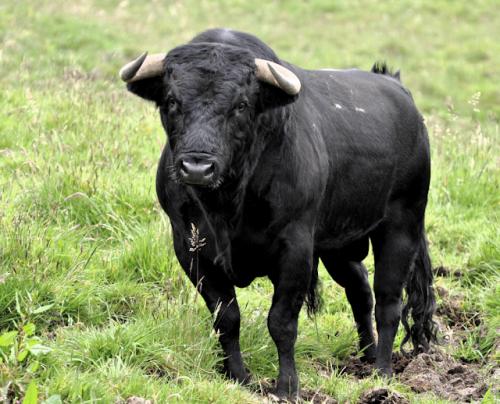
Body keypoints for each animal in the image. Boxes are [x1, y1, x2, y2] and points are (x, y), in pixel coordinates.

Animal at [119, 29, 436, 398]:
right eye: (171, 100)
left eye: (241, 105)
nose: (197, 167)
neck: (227, 205)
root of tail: (395, 86)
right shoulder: (190, 248)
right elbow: (226, 318)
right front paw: (237, 377)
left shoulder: (295, 248)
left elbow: (281, 322)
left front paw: (286, 386)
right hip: (338, 245)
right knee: (360, 290)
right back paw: (366, 356)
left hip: (401, 226)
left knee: (388, 301)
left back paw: (382, 372)